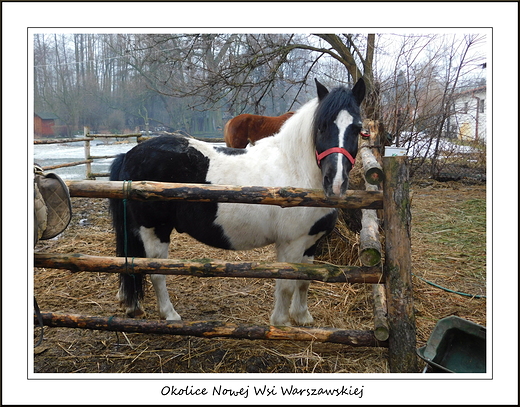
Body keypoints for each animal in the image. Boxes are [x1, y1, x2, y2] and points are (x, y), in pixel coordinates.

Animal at [109, 78, 366, 326]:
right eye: (321, 127)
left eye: (357, 128)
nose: (335, 181)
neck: (296, 170)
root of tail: (129, 155)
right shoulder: (291, 243)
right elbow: (286, 284)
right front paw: (281, 323)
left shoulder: (311, 242)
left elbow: (304, 280)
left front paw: (302, 317)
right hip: (155, 231)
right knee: (156, 272)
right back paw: (170, 314)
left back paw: (134, 307)